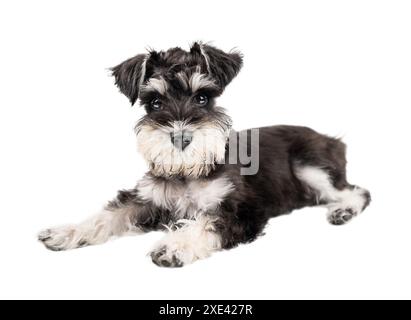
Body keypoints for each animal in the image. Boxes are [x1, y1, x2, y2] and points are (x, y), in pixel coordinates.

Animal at [39, 42, 374, 268]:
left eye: (202, 98)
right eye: (155, 102)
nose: (181, 137)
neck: (188, 171)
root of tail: (331, 139)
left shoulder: (242, 211)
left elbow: (208, 222)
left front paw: (174, 246)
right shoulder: (145, 199)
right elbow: (108, 215)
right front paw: (65, 231)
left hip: (310, 165)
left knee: (356, 191)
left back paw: (343, 210)